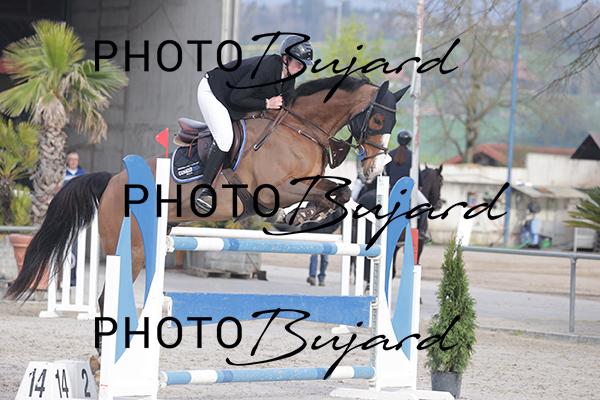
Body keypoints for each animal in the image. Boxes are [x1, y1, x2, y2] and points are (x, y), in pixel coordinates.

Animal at [5, 75, 410, 306]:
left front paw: (309, 214)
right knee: (108, 300)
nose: (375, 169)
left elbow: (338, 195)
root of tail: (113, 179)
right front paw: (299, 215)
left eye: (391, 122)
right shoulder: (274, 189)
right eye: (377, 118)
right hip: (130, 247)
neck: (299, 129)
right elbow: (324, 194)